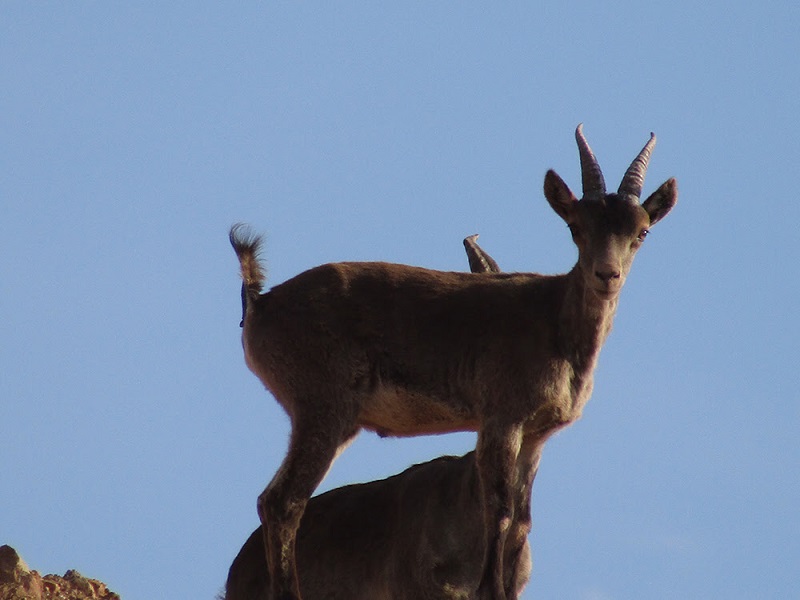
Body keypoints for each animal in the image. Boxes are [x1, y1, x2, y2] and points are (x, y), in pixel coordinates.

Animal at [230, 124, 676, 596]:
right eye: (575, 227)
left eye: (641, 232)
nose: (607, 275)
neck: (555, 317)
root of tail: (260, 304)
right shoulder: (502, 416)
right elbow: (499, 508)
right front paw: (490, 588)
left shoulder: (534, 434)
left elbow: (523, 518)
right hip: (323, 407)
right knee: (281, 501)